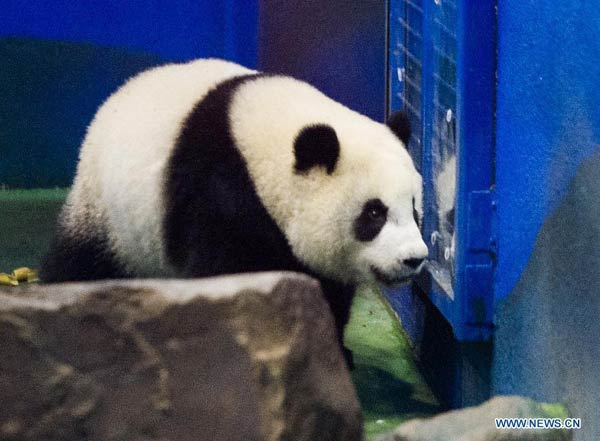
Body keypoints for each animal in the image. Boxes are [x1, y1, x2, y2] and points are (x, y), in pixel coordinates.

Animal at [41, 57, 426, 360]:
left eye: (414, 209)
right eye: (374, 213)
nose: (414, 258)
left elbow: (326, 286)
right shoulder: (219, 192)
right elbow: (229, 274)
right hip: (107, 212)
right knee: (81, 264)